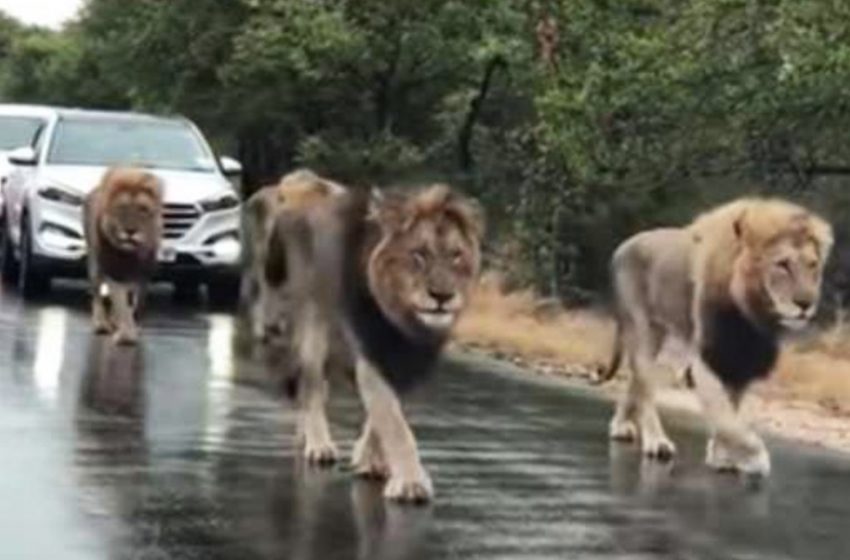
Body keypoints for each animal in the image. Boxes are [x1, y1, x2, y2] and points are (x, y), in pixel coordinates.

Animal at [85, 165, 165, 346]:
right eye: (121, 208)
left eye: (143, 209)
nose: (130, 231)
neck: (130, 254)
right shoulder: (115, 272)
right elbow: (121, 303)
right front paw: (126, 336)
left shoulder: (143, 276)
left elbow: (136, 304)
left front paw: (132, 327)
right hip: (96, 266)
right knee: (97, 295)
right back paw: (101, 325)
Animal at [262, 183, 480, 504]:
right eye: (419, 254)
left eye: (456, 255)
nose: (442, 296)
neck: (404, 319)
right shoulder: (370, 358)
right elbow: (396, 425)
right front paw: (411, 483)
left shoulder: (408, 363)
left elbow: (381, 417)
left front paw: (370, 460)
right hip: (314, 322)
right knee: (311, 388)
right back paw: (318, 444)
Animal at [600, 199, 832, 474]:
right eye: (782, 264)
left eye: (812, 265)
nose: (806, 303)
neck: (751, 315)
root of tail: (621, 246)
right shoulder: (707, 361)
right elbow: (727, 418)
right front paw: (754, 456)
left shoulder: (740, 362)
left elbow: (731, 412)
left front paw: (722, 455)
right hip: (641, 326)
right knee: (644, 385)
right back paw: (656, 442)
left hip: (657, 332)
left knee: (635, 379)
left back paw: (619, 426)